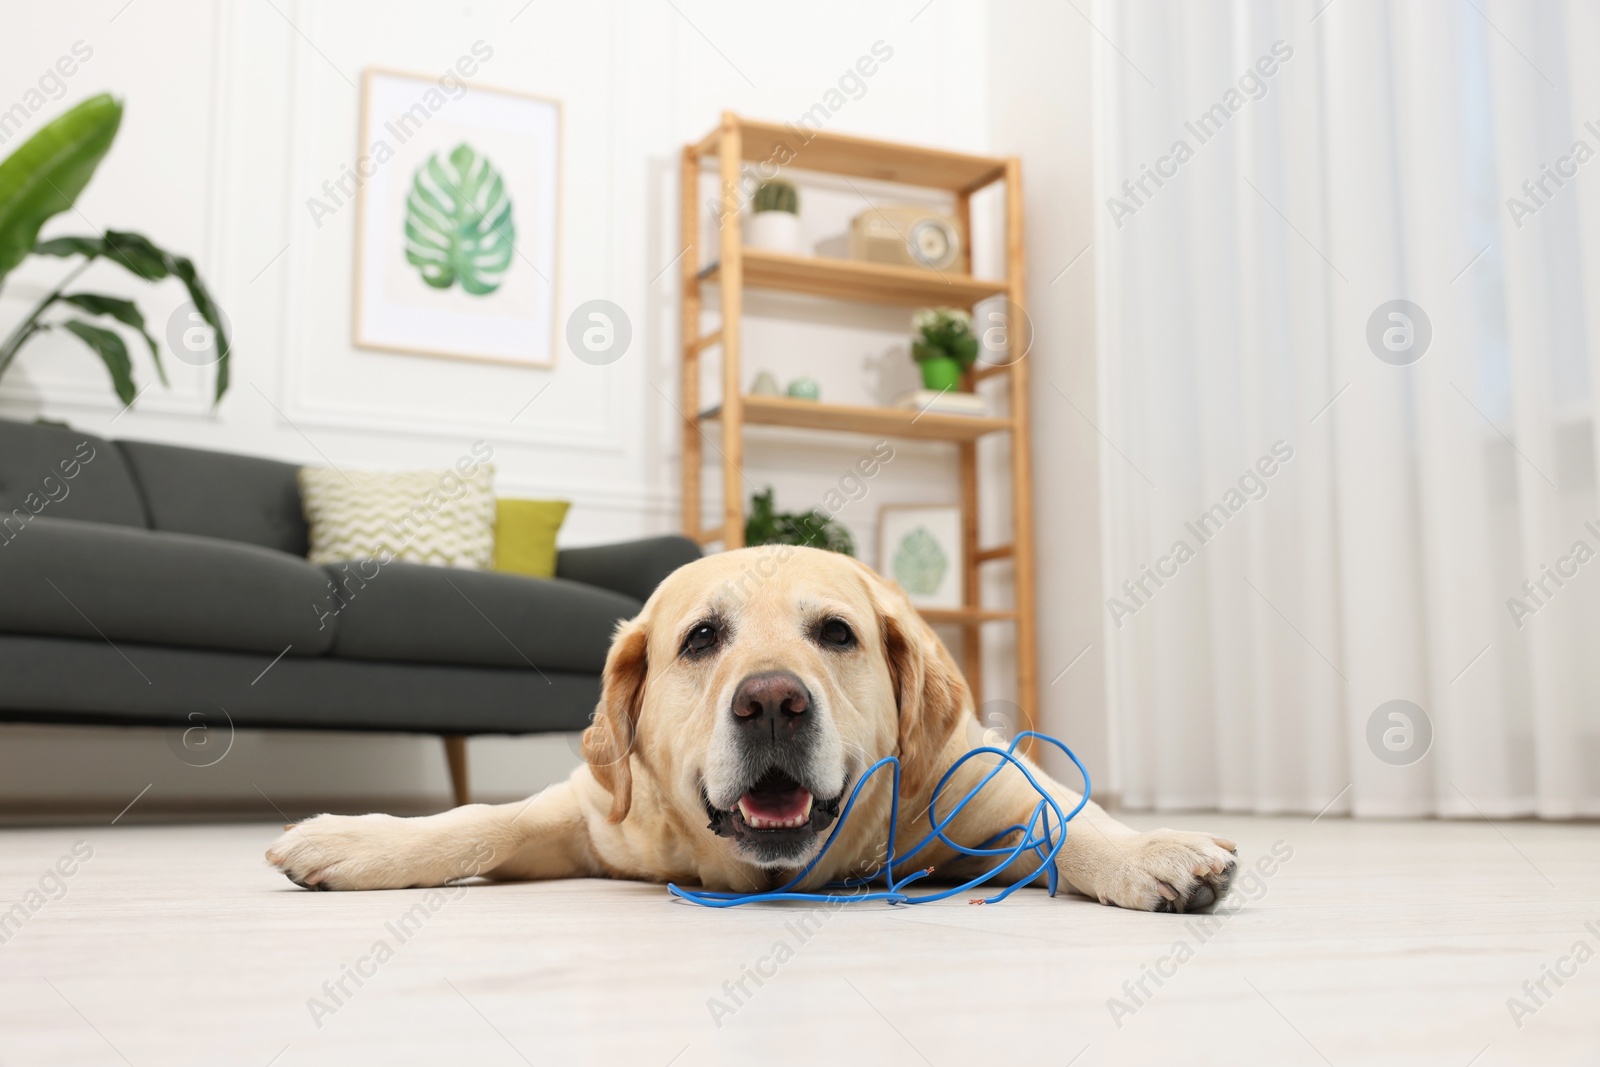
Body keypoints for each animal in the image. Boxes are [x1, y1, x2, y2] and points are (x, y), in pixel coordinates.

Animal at [265, 547, 1235, 915]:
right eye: (701, 639)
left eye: (836, 633)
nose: (772, 702)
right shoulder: (596, 810)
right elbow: (478, 819)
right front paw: (357, 838)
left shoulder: (982, 784)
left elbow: (1072, 821)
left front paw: (1152, 850)